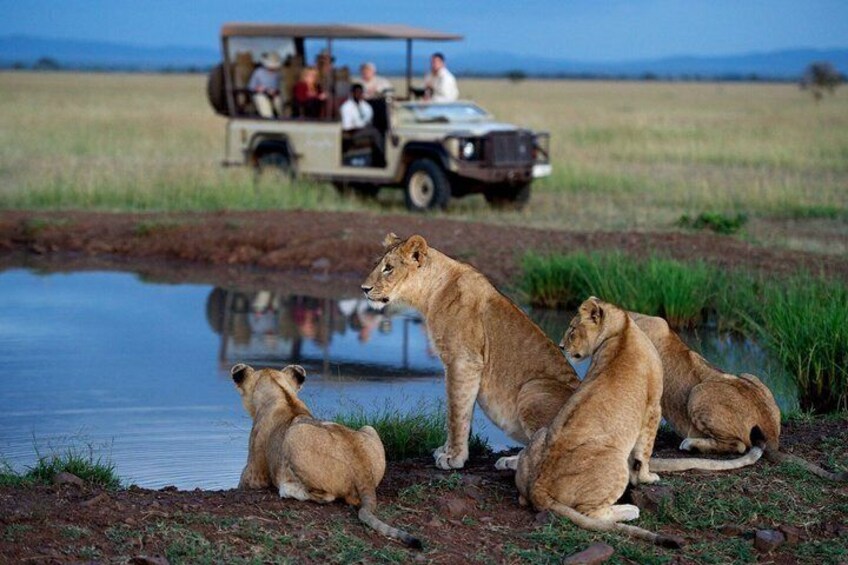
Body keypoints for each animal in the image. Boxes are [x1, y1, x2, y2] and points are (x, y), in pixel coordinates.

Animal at [231, 363, 422, 548]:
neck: (282, 393)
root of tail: (363, 470)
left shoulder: (255, 475)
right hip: (369, 428)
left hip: (294, 435)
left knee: (327, 497)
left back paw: (288, 489)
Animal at [361, 233, 580, 470]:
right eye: (378, 265)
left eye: (389, 268)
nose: (364, 288)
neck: (430, 294)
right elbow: (457, 410)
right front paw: (446, 450)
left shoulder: (463, 361)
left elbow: (456, 412)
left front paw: (454, 457)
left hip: (533, 388)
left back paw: (511, 461)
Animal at [514, 298, 682, 547]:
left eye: (572, 330)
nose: (561, 346)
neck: (620, 329)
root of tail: (538, 487)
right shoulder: (653, 407)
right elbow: (645, 452)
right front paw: (647, 478)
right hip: (614, 461)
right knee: (592, 513)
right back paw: (630, 510)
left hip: (541, 434)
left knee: (523, 498)